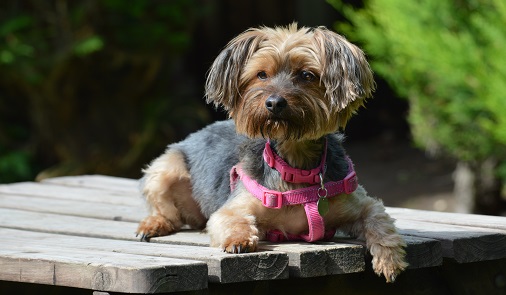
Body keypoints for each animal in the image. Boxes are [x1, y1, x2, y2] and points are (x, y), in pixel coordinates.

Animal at [136, 23, 410, 282]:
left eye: (307, 75)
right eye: (261, 75)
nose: (274, 102)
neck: (296, 164)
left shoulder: (359, 203)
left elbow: (379, 220)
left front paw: (389, 260)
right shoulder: (232, 207)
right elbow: (231, 219)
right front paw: (239, 240)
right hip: (166, 167)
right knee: (167, 209)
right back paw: (153, 224)